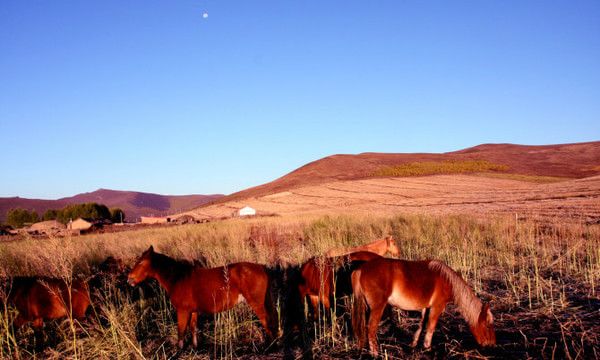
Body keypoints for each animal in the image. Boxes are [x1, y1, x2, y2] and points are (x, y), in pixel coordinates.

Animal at [127, 246, 278, 348]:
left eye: (141, 262)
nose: (129, 279)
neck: (178, 278)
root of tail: (261, 267)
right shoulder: (193, 311)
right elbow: (193, 328)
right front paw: (195, 347)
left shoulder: (182, 311)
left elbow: (181, 331)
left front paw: (179, 350)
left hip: (257, 303)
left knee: (266, 320)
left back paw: (269, 346)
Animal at [352, 258, 496, 354]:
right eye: (488, 325)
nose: (492, 345)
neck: (448, 281)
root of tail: (362, 268)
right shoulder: (437, 307)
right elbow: (431, 327)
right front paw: (427, 348)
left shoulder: (426, 308)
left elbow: (421, 325)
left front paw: (414, 344)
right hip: (377, 308)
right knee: (371, 329)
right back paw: (375, 353)